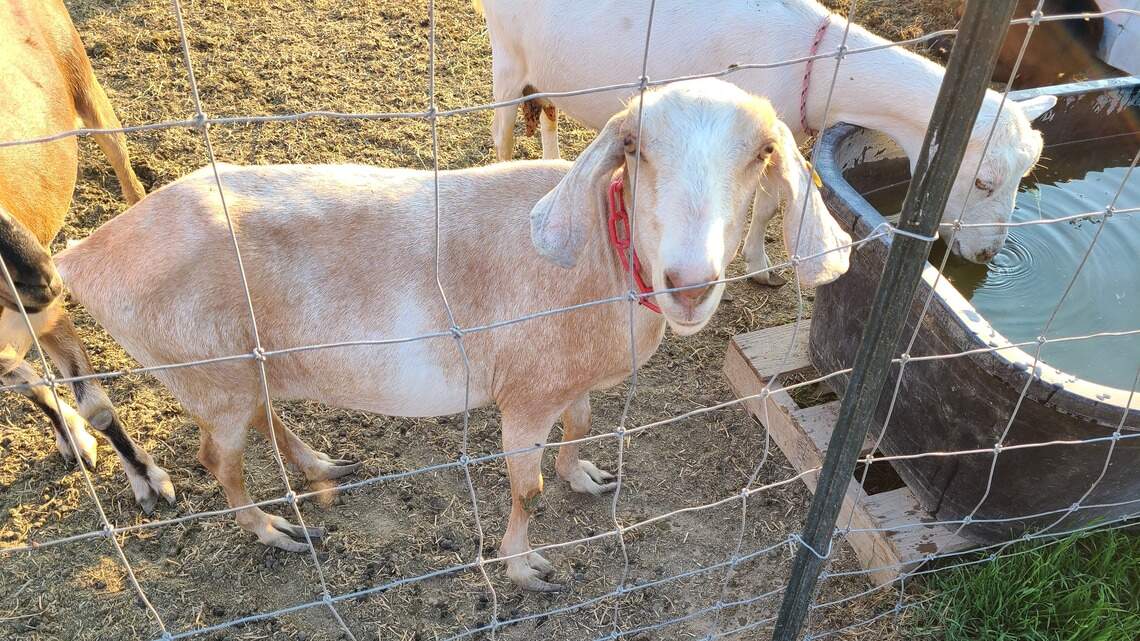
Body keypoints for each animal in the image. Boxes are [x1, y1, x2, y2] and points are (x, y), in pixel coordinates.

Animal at [0, 0, 172, 511]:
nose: (45, 278)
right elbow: (32, 386)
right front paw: (72, 440)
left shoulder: (50, 317)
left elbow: (96, 406)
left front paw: (147, 479)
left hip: (84, 83)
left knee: (123, 164)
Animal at [55, 79, 852, 591]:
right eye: (636, 148)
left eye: (761, 154)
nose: (688, 282)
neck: (598, 256)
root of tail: (85, 255)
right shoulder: (523, 394)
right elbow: (527, 488)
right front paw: (527, 568)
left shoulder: (567, 380)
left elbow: (583, 426)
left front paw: (586, 476)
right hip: (206, 370)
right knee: (217, 459)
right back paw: (276, 531)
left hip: (248, 363)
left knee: (264, 414)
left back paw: (321, 465)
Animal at [473, 0, 1058, 279]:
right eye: (983, 181)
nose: (987, 254)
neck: (814, 62)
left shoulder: (778, 134)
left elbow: (773, 202)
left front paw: (759, 266)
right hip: (506, 52)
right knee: (503, 128)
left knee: (547, 109)